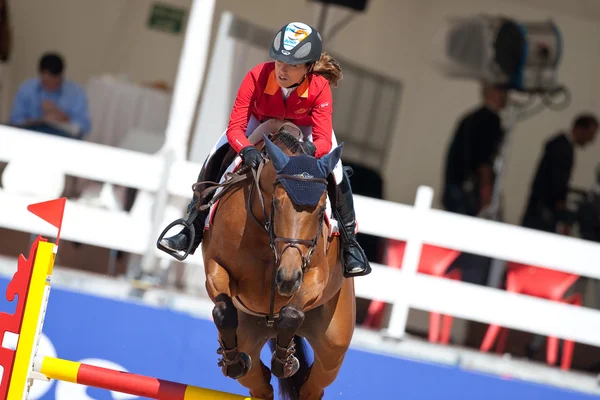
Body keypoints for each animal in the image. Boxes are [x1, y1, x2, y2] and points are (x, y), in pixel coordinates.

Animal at [198, 130, 356, 398]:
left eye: (321, 209)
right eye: (276, 203)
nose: (287, 279)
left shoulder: (315, 276)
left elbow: (291, 313)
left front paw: (285, 362)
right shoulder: (216, 266)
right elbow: (223, 311)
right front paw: (233, 362)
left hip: (334, 343)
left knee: (313, 384)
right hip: (249, 336)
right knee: (258, 380)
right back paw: (236, 361)